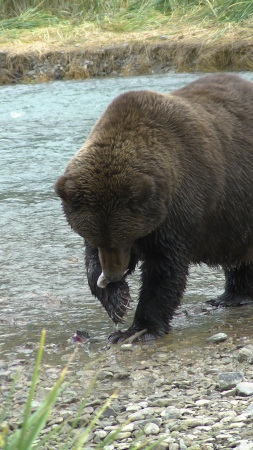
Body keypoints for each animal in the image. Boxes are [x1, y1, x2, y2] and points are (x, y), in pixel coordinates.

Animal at [56, 73, 253, 342]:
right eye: (96, 237)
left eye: (123, 237)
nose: (113, 276)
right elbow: (90, 260)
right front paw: (117, 300)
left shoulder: (177, 210)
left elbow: (164, 269)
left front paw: (138, 328)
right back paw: (230, 296)